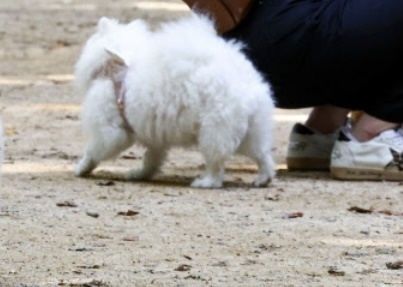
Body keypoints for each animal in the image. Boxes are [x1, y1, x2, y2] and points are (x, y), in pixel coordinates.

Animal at [74, 14, 276, 189]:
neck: (115, 71)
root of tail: (247, 85)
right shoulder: (155, 139)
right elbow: (151, 159)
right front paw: (141, 174)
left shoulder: (109, 132)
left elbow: (92, 151)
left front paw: (81, 168)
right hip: (251, 132)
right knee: (263, 156)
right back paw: (263, 180)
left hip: (214, 132)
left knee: (217, 167)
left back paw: (205, 183)